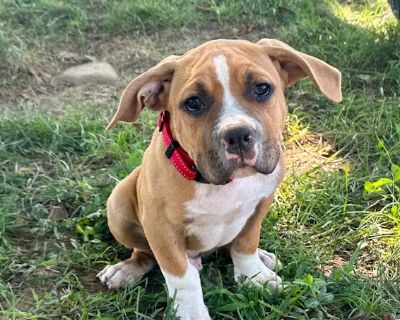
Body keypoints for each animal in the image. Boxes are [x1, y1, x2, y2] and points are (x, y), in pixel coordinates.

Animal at [97, 38, 340, 318]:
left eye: (262, 89)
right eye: (193, 103)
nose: (237, 135)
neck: (220, 184)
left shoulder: (261, 202)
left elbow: (245, 243)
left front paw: (255, 276)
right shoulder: (160, 227)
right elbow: (182, 277)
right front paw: (191, 312)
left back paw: (263, 257)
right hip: (118, 204)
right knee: (144, 252)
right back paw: (126, 269)